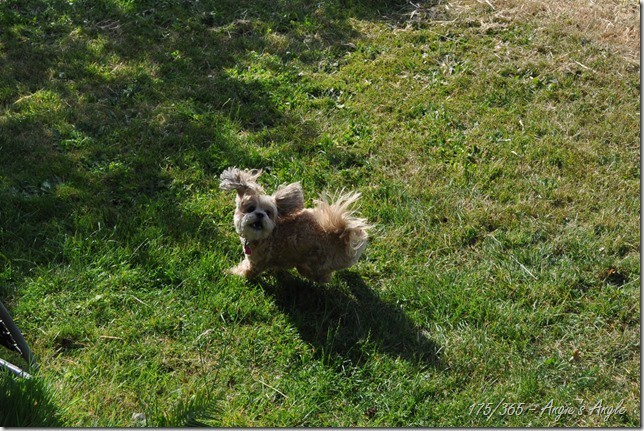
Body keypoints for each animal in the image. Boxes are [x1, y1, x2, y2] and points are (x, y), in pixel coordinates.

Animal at [221, 168, 372, 284]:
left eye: (268, 213)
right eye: (250, 208)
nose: (260, 214)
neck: (265, 236)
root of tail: (341, 232)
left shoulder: (257, 262)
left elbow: (246, 271)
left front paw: (232, 273)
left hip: (315, 265)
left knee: (322, 276)